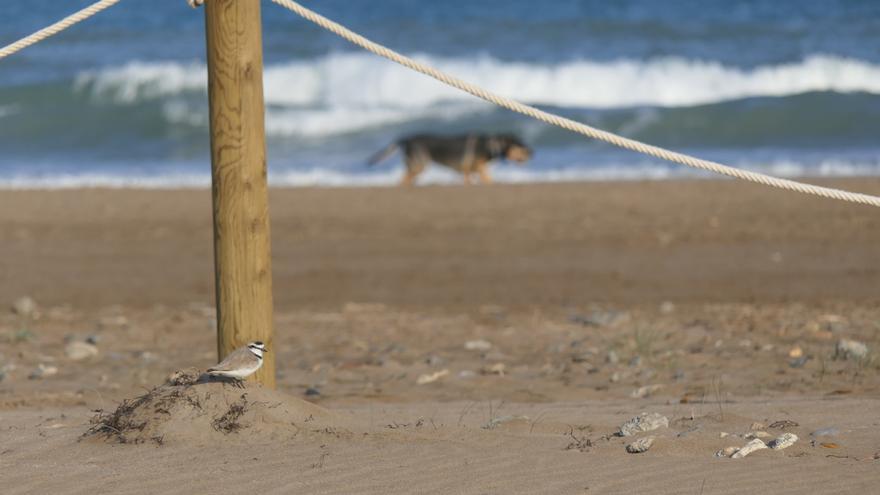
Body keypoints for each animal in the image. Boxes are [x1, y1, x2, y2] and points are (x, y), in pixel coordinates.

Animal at [368, 133, 532, 185]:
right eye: (522, 146)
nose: (533, 152)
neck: (489, 144)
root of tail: (406, 139)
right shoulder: (478, 169)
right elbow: (488, 180)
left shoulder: (468, 171)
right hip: (419, 164)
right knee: (403, 180)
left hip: (416, 166)